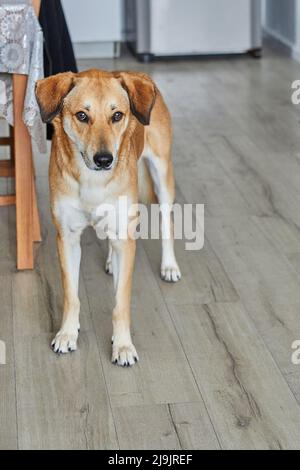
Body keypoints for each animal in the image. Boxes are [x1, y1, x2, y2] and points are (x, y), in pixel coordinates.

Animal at [35, 70, 180, 366]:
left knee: (166, 222)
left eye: (117, 115)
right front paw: (67, 334)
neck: (93, 179)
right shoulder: (67, 238)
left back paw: (169, 266)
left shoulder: (125, 237)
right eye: (82, 115)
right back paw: (112, 261)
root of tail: (143, 76)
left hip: (162, 173)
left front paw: (123, 346)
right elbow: (71, 295)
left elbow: (120, 303)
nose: (104, 159)